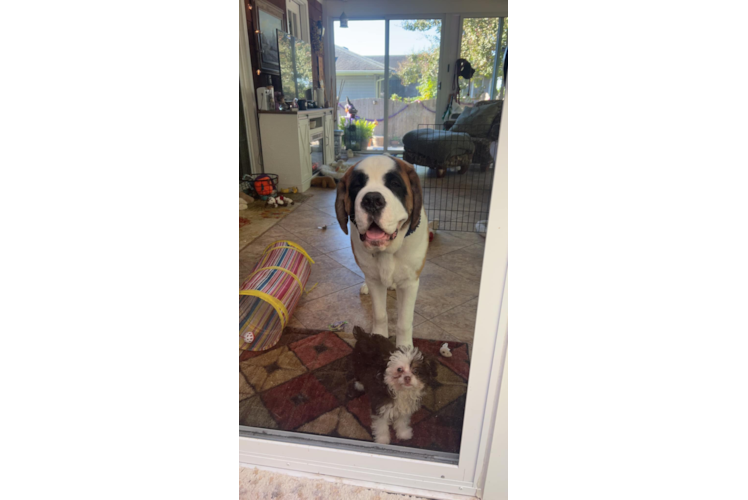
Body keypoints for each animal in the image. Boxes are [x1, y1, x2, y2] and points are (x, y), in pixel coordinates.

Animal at [334, 156, 426, 348]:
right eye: (357, 185)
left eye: (395, 184)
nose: (372, 200)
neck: (388, 251)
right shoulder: (375, 282)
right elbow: (380, 314)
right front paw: (378, 339)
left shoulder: (410, 284)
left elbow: (404, 322)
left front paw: (404, 349)